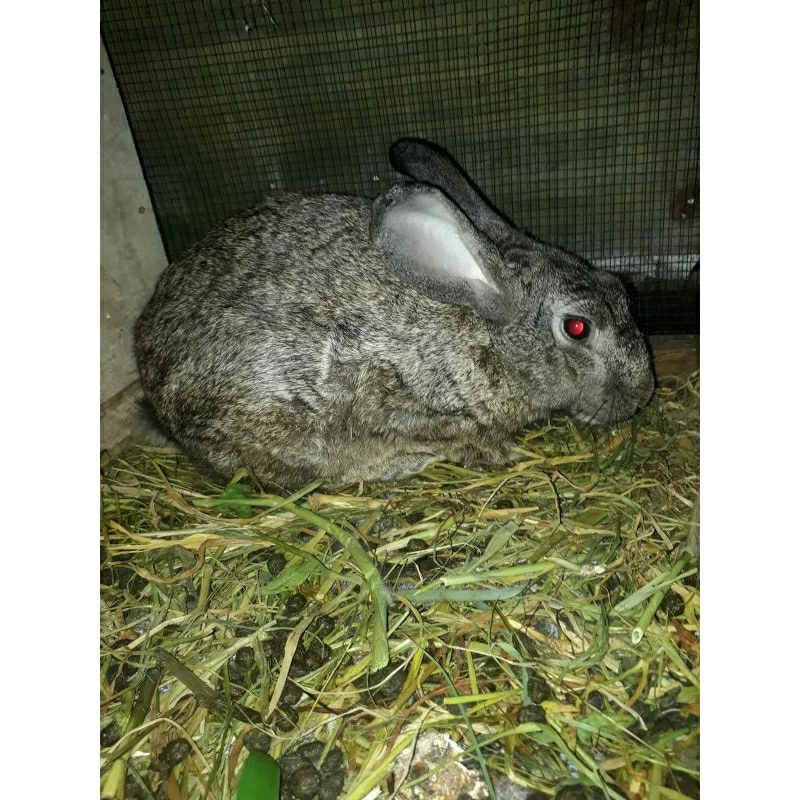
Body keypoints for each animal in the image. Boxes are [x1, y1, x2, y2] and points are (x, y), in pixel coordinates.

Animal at [134, 138, 654, 488]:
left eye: (620, 287)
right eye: (577, 327)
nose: (643, 393)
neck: (483, 331)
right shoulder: (392, 398)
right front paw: (490, 452)